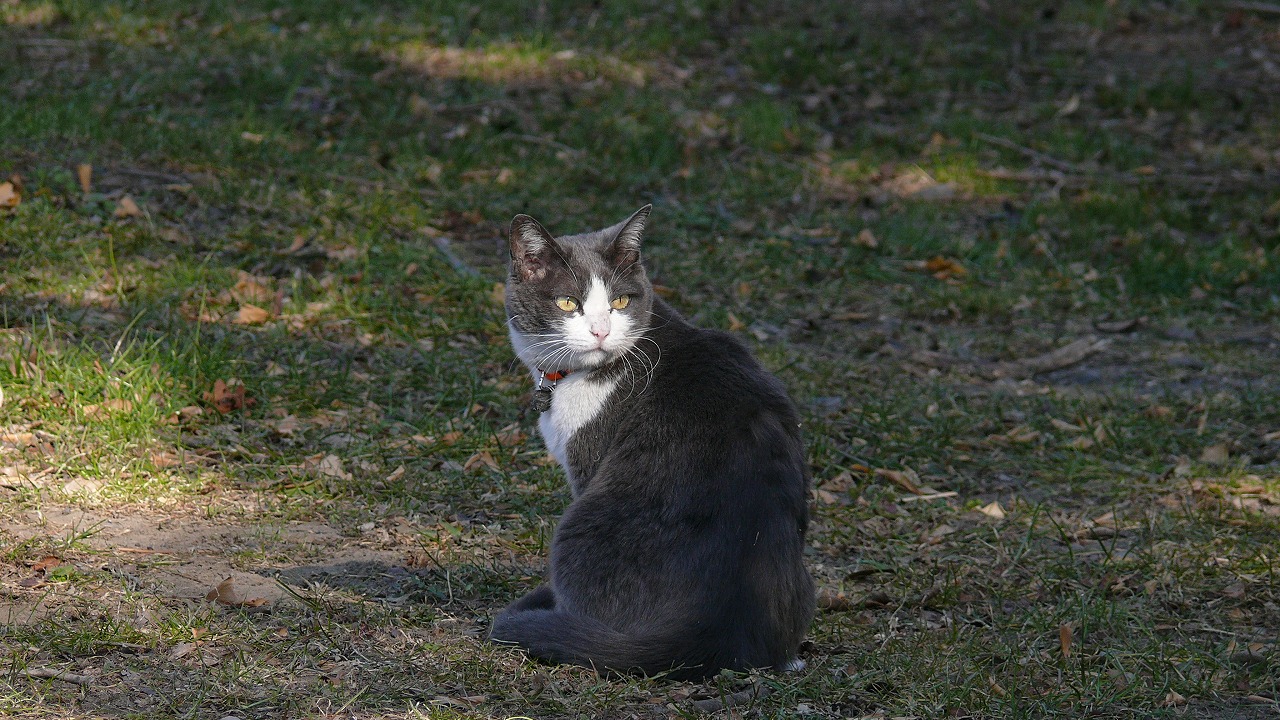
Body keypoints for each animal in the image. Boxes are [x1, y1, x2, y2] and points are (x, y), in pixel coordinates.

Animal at [488, 204, 808, 676]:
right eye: (568, 302)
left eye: (620, 302)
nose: (601, 332)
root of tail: (715, 630)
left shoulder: (586, 460)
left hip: (579, 529)